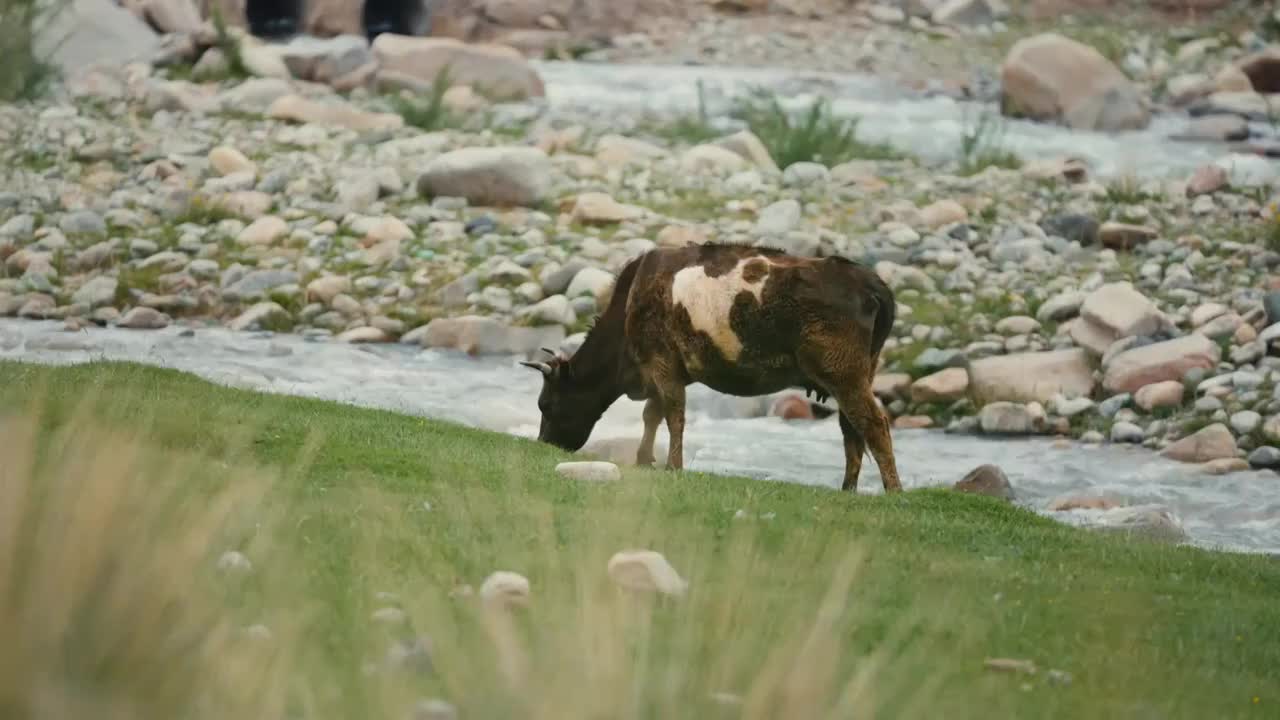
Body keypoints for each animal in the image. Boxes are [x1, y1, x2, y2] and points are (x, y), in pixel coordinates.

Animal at [519, 243, 901, 489]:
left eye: (545, 404)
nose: (545, 443)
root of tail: (870, 282)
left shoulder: (662, 363)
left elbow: (673, 415)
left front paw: (672, 466)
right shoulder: (664, 370)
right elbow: (652, 415)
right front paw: (645, 458)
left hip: (843, 373)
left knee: (874, 424)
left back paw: (893, 490)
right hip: (857, 373)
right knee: (851, 430)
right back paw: (848, 489)